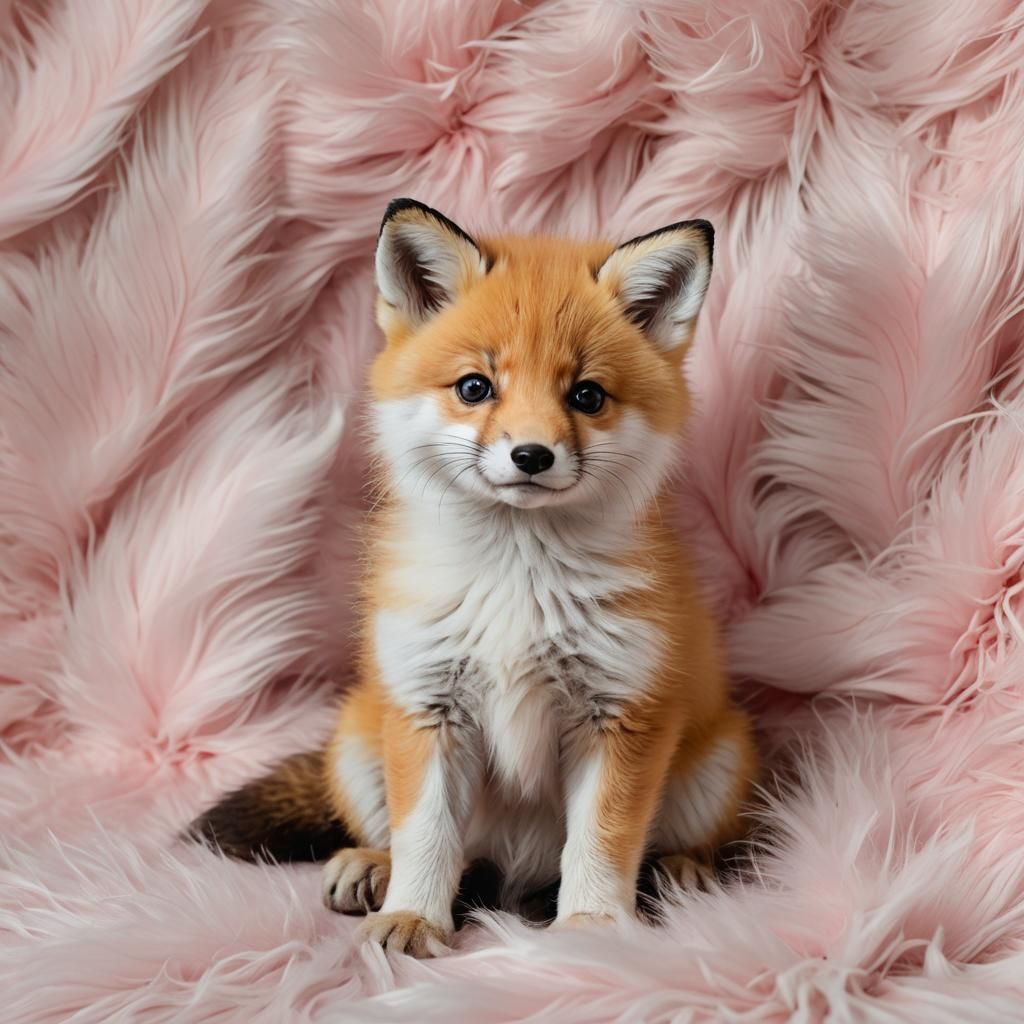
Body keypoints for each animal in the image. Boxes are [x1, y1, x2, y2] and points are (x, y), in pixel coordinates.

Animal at [188, 198, 758, 957]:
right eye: (475, 388)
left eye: (587, 395)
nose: (532, 455)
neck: (517, 584)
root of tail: (514, 877)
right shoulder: (430, 708)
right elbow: (427, 838)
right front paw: (414, 917)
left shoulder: (621, 714)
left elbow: (603, 843)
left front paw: (593, 928)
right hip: (360, 741)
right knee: (429, 849)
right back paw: (371, 869)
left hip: (715, 761)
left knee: (674, 845)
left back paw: (680, 872)